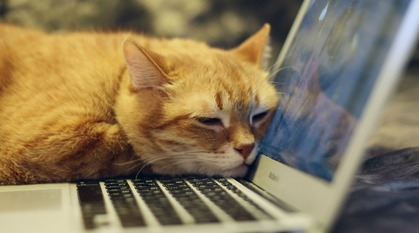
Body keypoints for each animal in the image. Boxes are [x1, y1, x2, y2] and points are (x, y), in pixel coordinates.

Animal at [0, 23, 282, 184]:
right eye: (208, 121)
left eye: (259, 116)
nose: (247, 148)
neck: (115, 76)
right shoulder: (55, 139)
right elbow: (127, 146)